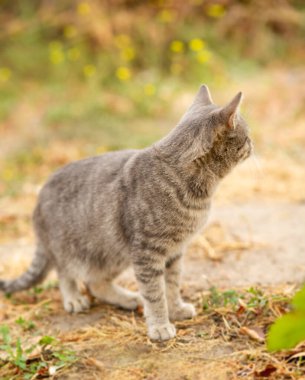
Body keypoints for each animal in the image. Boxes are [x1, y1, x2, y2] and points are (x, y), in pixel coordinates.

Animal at [0, 85, 252, 342]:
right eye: (247, 136)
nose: (252, 145)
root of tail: (38, 198)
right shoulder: (147, 253)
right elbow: (155, 293)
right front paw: (160, 325)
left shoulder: (174, 251)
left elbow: (171, 285)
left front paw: (176, 309)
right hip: (74, 249)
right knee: (65, 273)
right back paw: (73, 298)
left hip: (113, 253)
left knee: (95, 283)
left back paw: (127, 298)